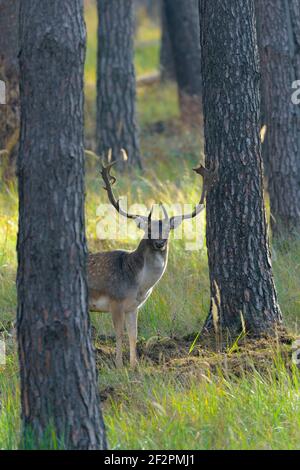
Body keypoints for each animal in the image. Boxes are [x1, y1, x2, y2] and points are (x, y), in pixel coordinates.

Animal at [88, 162, 207, 368]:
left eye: (168, 230)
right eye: (149, 230)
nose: (160, 243)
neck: (139, 285)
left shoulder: (133, 306)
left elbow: (133, 335)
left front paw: (134, 365)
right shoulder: (115, 300)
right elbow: (119, 334)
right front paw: (119, 365)